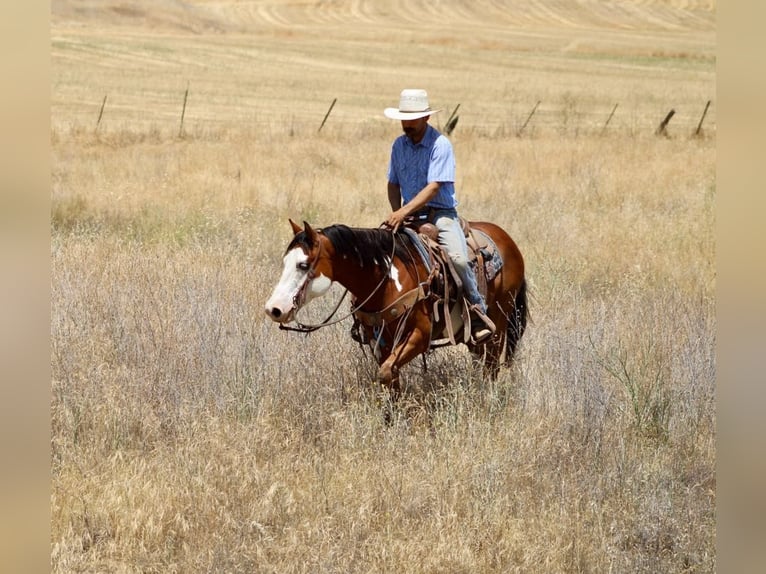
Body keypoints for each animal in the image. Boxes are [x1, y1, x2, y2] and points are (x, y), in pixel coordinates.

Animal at [265, 219, 527, 401]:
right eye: (285, 262)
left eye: (303, 265)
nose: (274, 309)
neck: (386, 278)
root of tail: (507, 240)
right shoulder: (379, 340)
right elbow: (390, 377)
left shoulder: (419, 335)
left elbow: (385, 373)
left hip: (499, 326)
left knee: (491, 367)